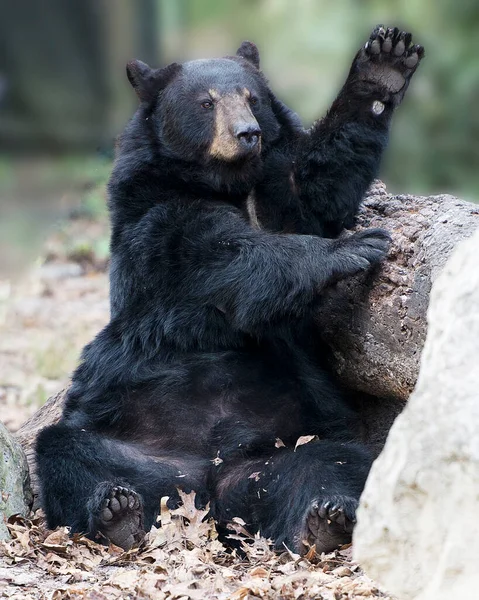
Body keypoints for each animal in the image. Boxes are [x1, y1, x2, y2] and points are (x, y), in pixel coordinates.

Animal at [36, 27, 424, 552]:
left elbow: (320, 189)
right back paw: (116, 510)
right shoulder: (154, 215)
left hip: (293, 442)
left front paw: (384, 65)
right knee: (68, 454)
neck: (227, 181)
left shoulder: (279, 179)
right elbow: (230, 261)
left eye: (252, 98)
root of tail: (210, 488)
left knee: (334, 464)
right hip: (121, 428)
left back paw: (324, 519)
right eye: (206, 102)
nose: (247, 134)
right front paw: (356, 247)